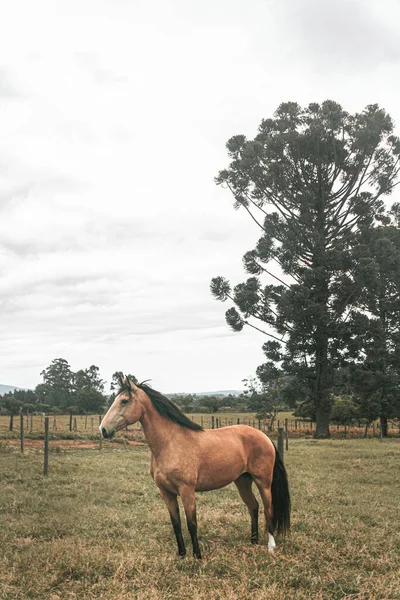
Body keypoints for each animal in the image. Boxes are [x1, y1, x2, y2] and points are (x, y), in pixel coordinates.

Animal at [98, 378, 290, 560]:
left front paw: (197, 556)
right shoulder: (166, 492)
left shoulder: (187, 490)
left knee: (268, 509)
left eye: (124, 401)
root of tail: (264, 436)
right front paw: (181, 554)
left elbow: (192, 523)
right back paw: (253, 541)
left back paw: (270, 547)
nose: (103, 430)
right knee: (253, 506)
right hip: (242, 481)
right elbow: (176, 523)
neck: (170, 443)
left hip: (263, 481)